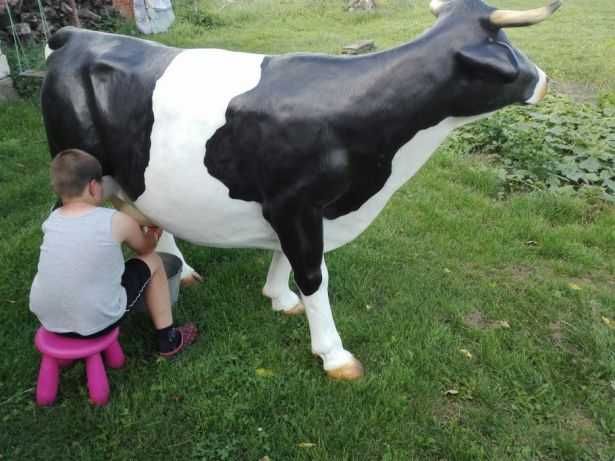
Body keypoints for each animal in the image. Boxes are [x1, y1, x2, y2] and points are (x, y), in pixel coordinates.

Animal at [42, 0, 564, 378]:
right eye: (507, 48)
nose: (543, 80)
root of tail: (76, 34)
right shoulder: (296, 204)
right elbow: (314, 274)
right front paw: (333, 354)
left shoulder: (297, 209)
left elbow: (285, 259)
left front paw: (279, 298)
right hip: (74, 164)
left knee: (147, 212)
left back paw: (184, 271)